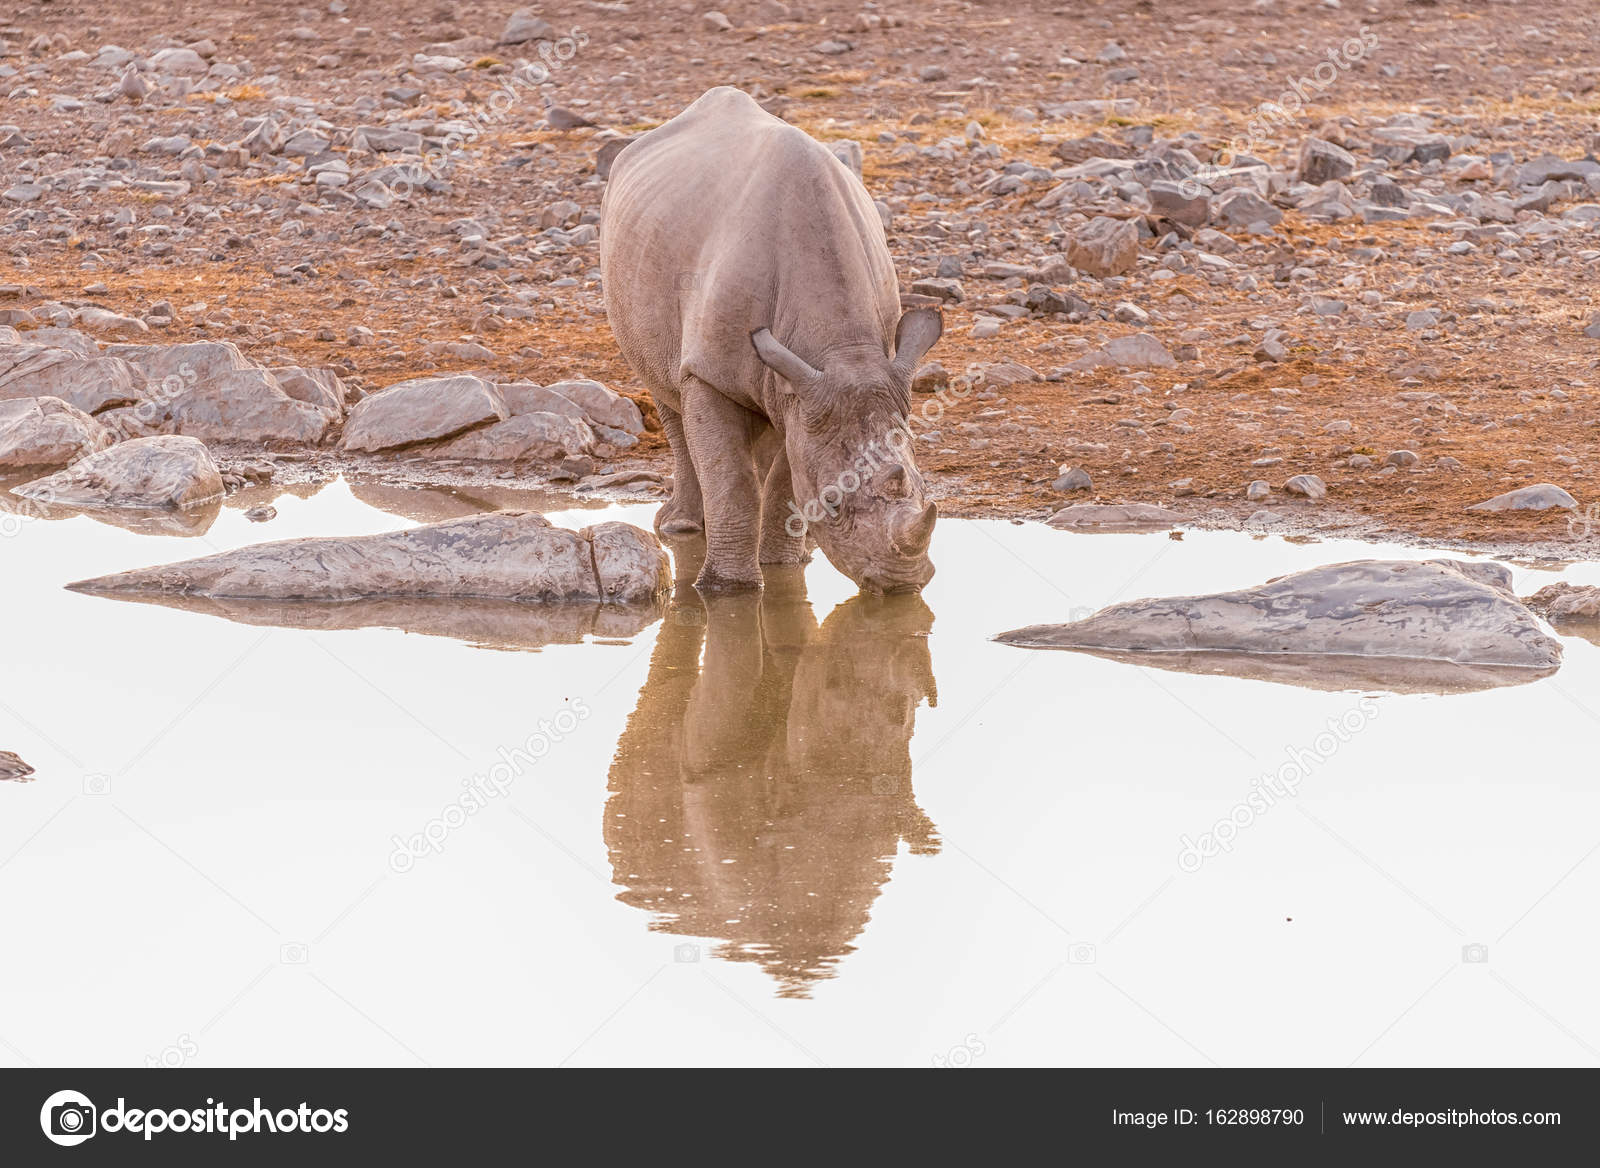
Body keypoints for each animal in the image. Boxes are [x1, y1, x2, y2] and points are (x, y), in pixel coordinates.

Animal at [600, 86, 941, 593]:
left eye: (923, 489)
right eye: (833, 503)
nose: (903, 583)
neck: (843, 351)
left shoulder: (805, 387)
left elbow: (787, 478)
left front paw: (781, 566)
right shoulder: (715, 373)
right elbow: (731, 478)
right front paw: (728, 590)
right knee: (667, 390)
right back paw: (679, 527)